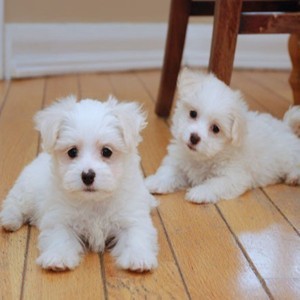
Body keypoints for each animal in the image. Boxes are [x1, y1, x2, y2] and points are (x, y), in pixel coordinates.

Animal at [0, 96, 159, 272]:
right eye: (72, 152)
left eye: (107, 151)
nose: (87, 175)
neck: (94, 201)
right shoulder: (60, 217)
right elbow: (60, 236)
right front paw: (58, 257)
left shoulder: (132, 216)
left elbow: (136, 235)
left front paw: (138, 258)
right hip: (27, 189)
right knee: (15, 202)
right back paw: (10, 219)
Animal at [145, 68, 300, 204]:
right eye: (193, 113)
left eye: (215, 128)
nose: (194, 137)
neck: (204, 157)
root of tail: (286, 126)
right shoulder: (178, 162)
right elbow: (168, 172)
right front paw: (153, 182)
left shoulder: (234, 176)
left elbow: (216, 183)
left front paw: (200, 192)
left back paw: (294, 177)